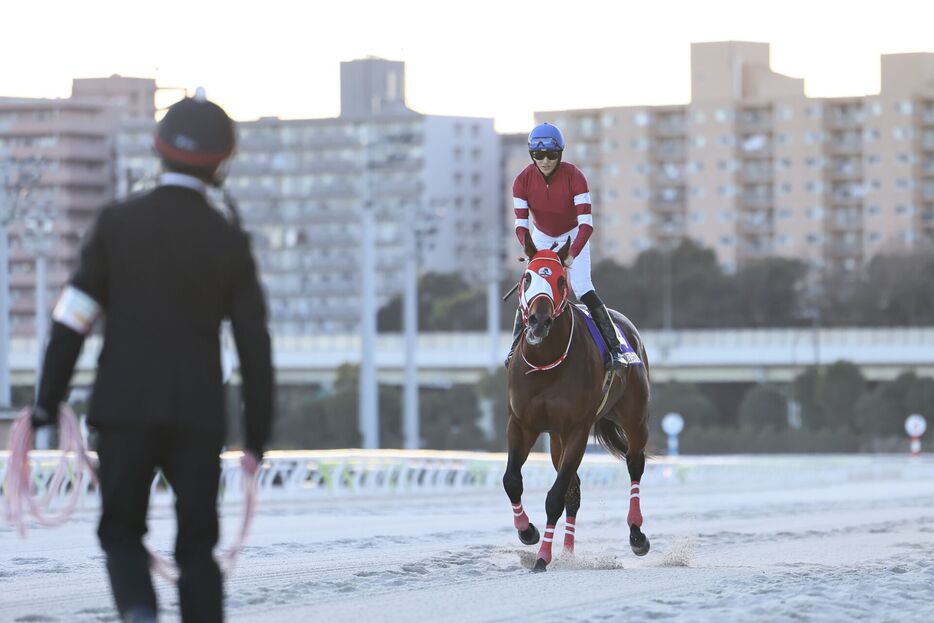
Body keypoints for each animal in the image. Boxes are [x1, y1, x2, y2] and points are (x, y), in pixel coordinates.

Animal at [504, 235, 652, 576]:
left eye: (560, 280)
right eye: (527, 278)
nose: (538, 321)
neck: (546, 365)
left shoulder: (577, 429)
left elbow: (555, 497)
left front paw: (542, 557)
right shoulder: (522, 423)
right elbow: (512, 481)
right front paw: (527, 531)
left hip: (635, 418)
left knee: (634, 464)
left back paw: (637, 535)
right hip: (556, 438)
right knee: (574, 489)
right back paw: (568, 553)